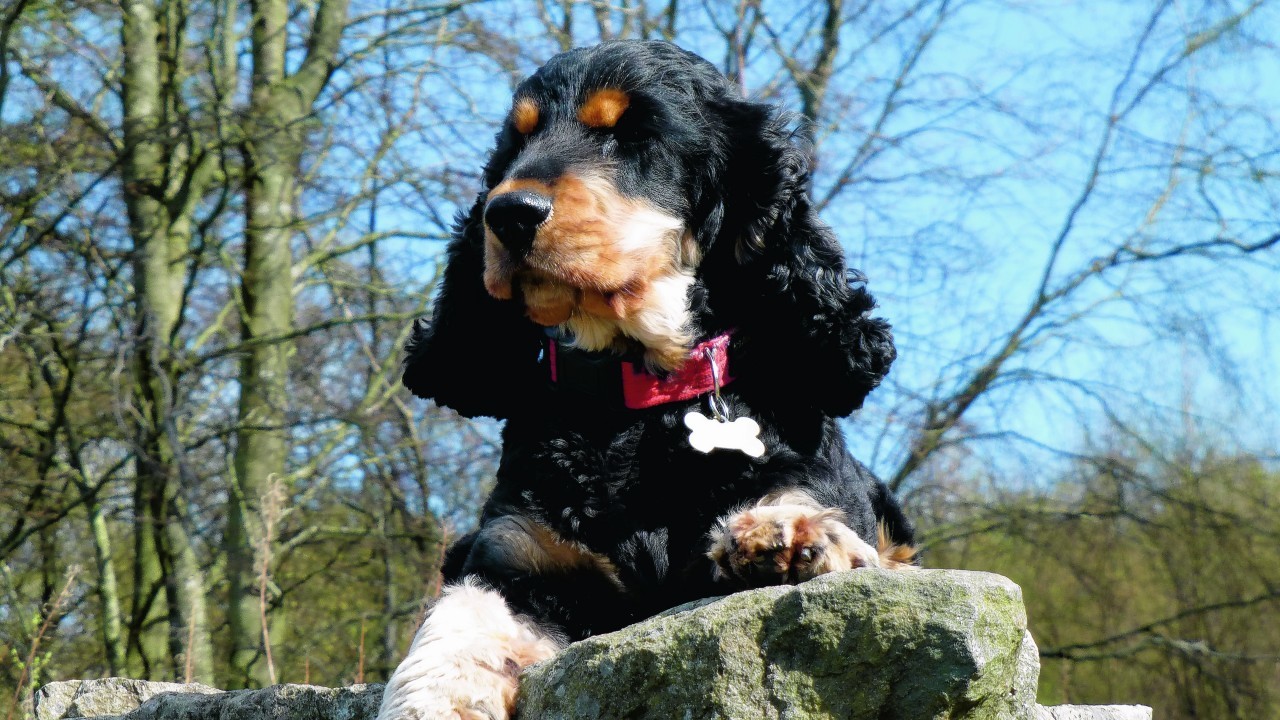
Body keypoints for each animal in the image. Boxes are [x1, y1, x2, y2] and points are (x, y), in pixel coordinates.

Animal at [373, 40, 916, 717]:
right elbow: (455, 629)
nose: (507, 213)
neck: (639, 393)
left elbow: (794, 495)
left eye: (634, 136)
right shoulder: (514, 553)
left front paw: (784, 533)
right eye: (516, 144)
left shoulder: (808, 475)